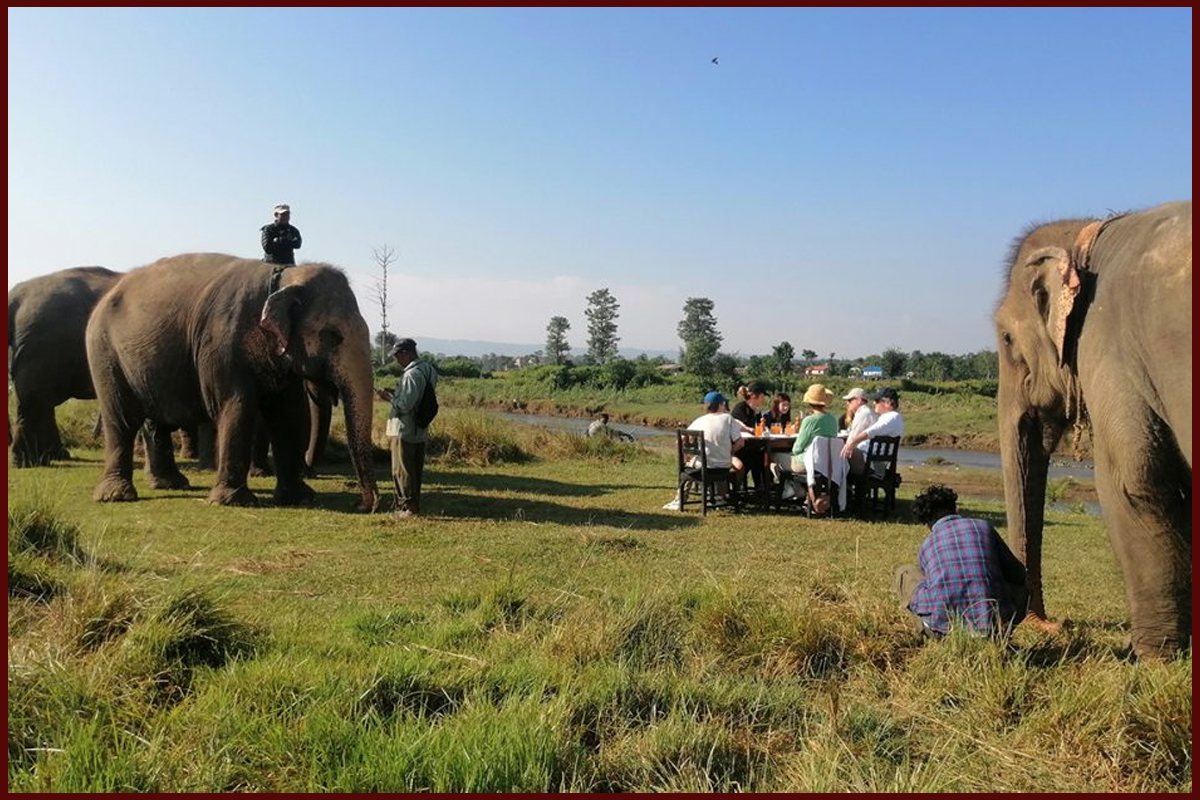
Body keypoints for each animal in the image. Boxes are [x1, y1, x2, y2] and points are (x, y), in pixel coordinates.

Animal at [7, 267, 120, 465]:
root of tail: (16, 295)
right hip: (43, 347)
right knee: (35, 399)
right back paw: (27, 462)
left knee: (41, 401)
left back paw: (51, 457)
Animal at [87, 253, 376, 510]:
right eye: (332, 335)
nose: (362, 504)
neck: (284, 276)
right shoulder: (222, 342)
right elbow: (237, 407)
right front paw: (233, 502)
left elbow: (289, 415)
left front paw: (300, 498)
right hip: (104, 353)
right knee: (121, 419)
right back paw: (116, 496)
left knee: (155, 422)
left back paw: (170, 484)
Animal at [993, 199, 1190, 657]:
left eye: (1007, 338)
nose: (1055, 624)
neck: (1086, 233)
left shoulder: (1109, 346)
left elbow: (1132, 480)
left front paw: (1153, 658)